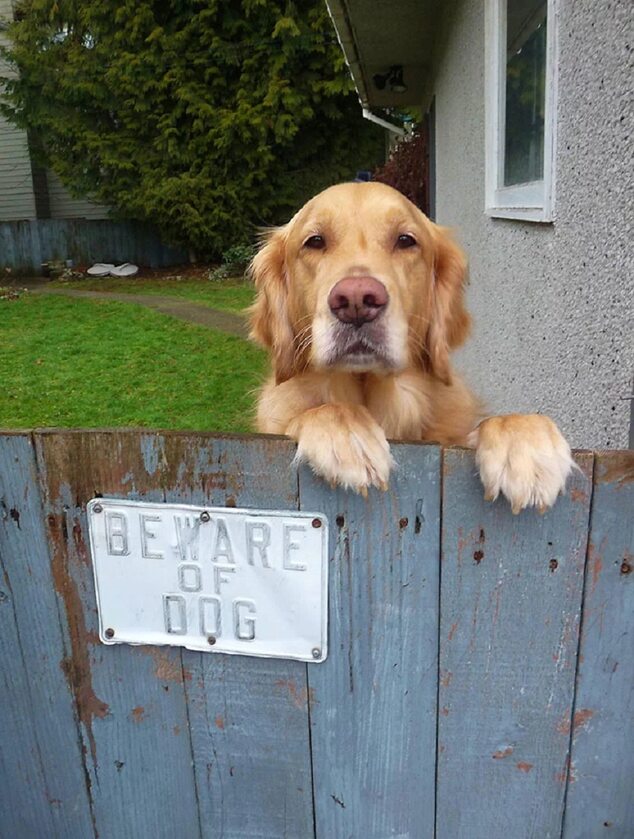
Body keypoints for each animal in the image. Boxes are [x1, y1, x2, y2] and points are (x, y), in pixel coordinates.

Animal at [248, 183, 572, 512]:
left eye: (405, 240)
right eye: (315, 241)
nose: (356, 301)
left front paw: (526, 443)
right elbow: (322, 409)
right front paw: (347, 435)